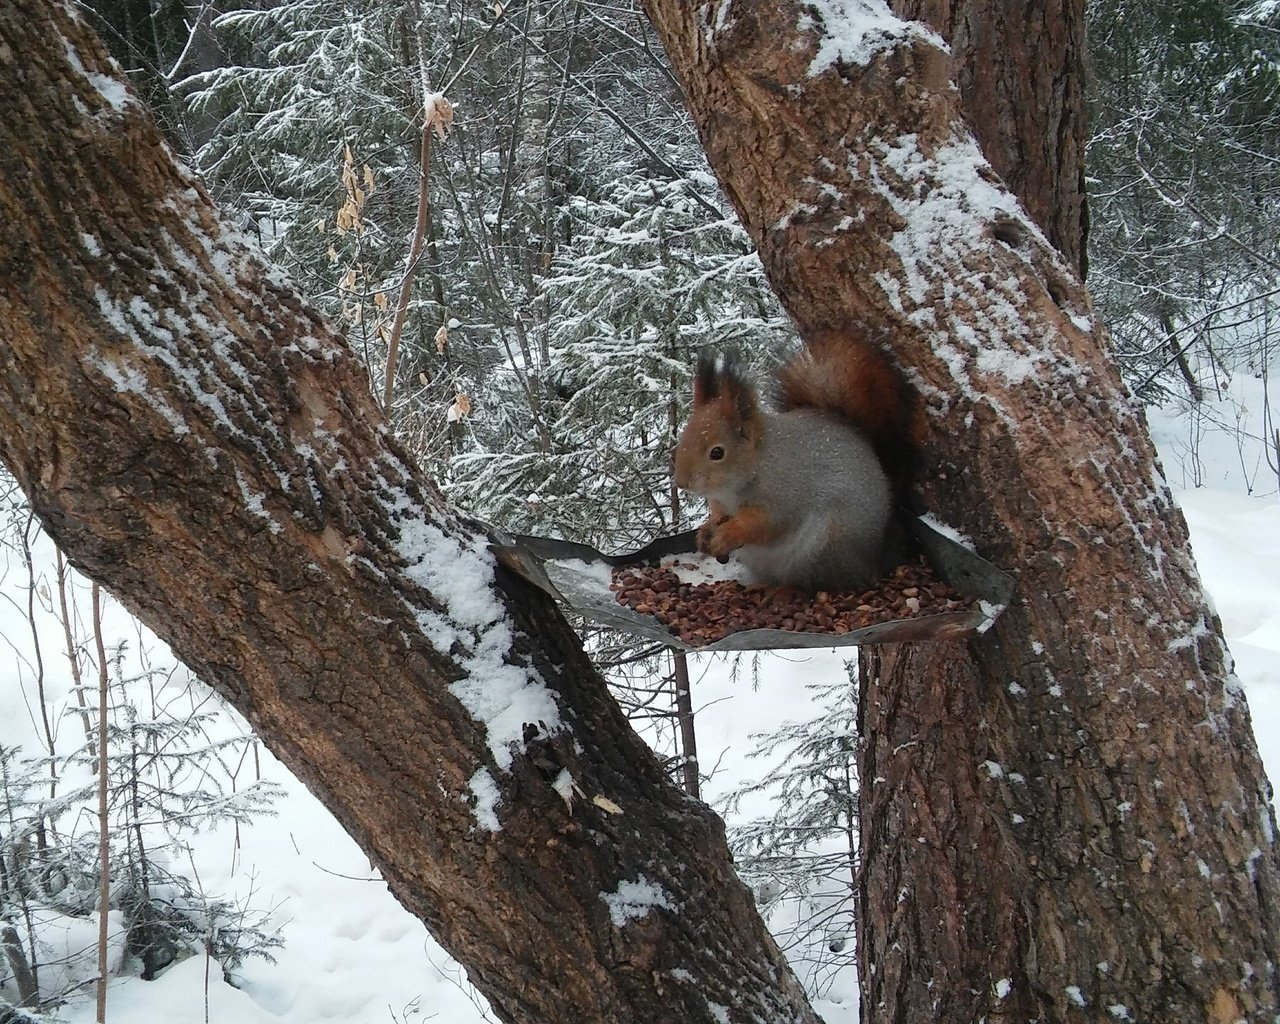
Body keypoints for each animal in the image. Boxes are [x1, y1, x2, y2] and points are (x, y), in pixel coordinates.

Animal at [675, 332, 916, 596]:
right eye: (683, 438)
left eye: (717, 452)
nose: (682, 482)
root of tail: (873, 560)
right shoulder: (720, 503)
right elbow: (718, 516)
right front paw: (705, 531)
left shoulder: (785, 496)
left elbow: (766, 524)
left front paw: (729, 534)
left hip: (826, 545)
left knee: (818, 582)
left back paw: (785, 591)